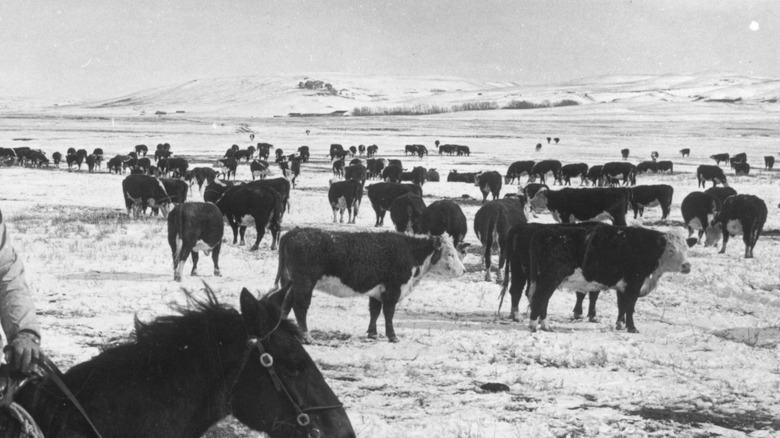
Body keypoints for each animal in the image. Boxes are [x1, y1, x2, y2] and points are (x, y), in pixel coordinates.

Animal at [272, 228, 466, 344]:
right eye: (450, 253)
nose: (463, 270)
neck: (410, 252)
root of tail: (294, 232)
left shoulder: (378, 290)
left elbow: (375, 311)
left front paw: (373, 333)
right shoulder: (393, 289)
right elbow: (388, 313)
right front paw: (393, 336)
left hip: (292, 284)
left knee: (286, 305)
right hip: (304, 283)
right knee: (300, 308)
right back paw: (307, 337)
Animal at [524, 226, 688, 332]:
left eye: (686, 248)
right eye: (671, 250)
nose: (687, 265)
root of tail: (543, 232)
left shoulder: (623, 286)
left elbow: (621, 306)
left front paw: (620, 325)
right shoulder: (634, 284)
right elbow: (630, 306)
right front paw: (632, 327)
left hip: (544, 281)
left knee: (543, 300)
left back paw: (545, 325)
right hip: (549, 279)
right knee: (539, 299)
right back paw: (535, 325)